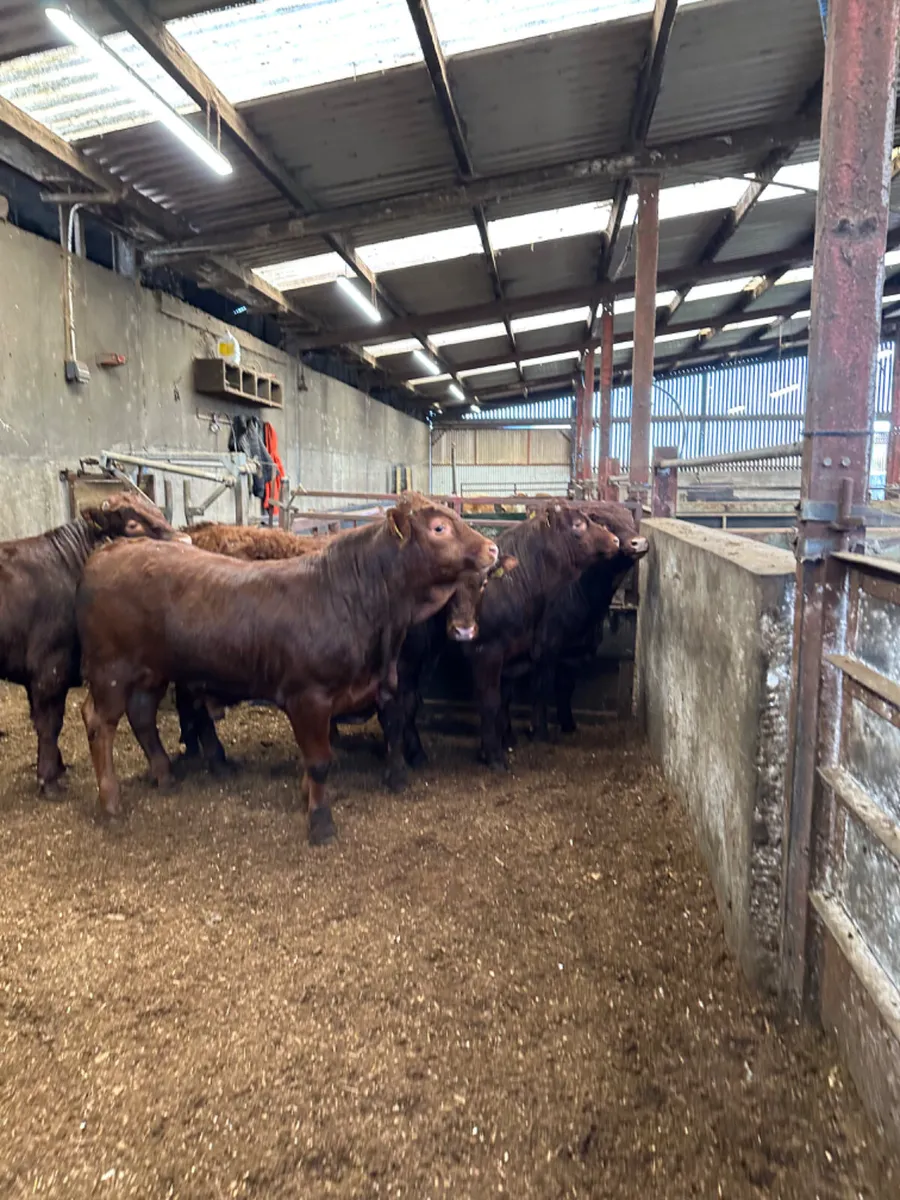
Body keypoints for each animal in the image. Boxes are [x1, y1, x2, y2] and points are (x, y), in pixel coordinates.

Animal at [0, 490, 188, 795]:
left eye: (159, 512)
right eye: (133, 524)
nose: (186, 542)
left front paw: (57, 768)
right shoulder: (50, 667)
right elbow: (49, 722)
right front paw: (48, 779)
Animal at [75, 494, 498, 845]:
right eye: (439, 528)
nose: (492, 547)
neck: (349, 597)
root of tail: (108, 551)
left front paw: (306, 795)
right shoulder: (308, 696)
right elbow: (321, 761)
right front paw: (321, 823)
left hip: (152, 670)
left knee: (142, 714)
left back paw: (165, 776)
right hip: (111, 669)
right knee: (99, 722)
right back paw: (111, 801)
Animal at [460, 504, 621, 770]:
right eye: (578, 524)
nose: (615, 539)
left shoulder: (513, 654)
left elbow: (505, 699)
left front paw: (503, 742)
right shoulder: (487, 652)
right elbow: (490, 701)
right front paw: (494, 756)